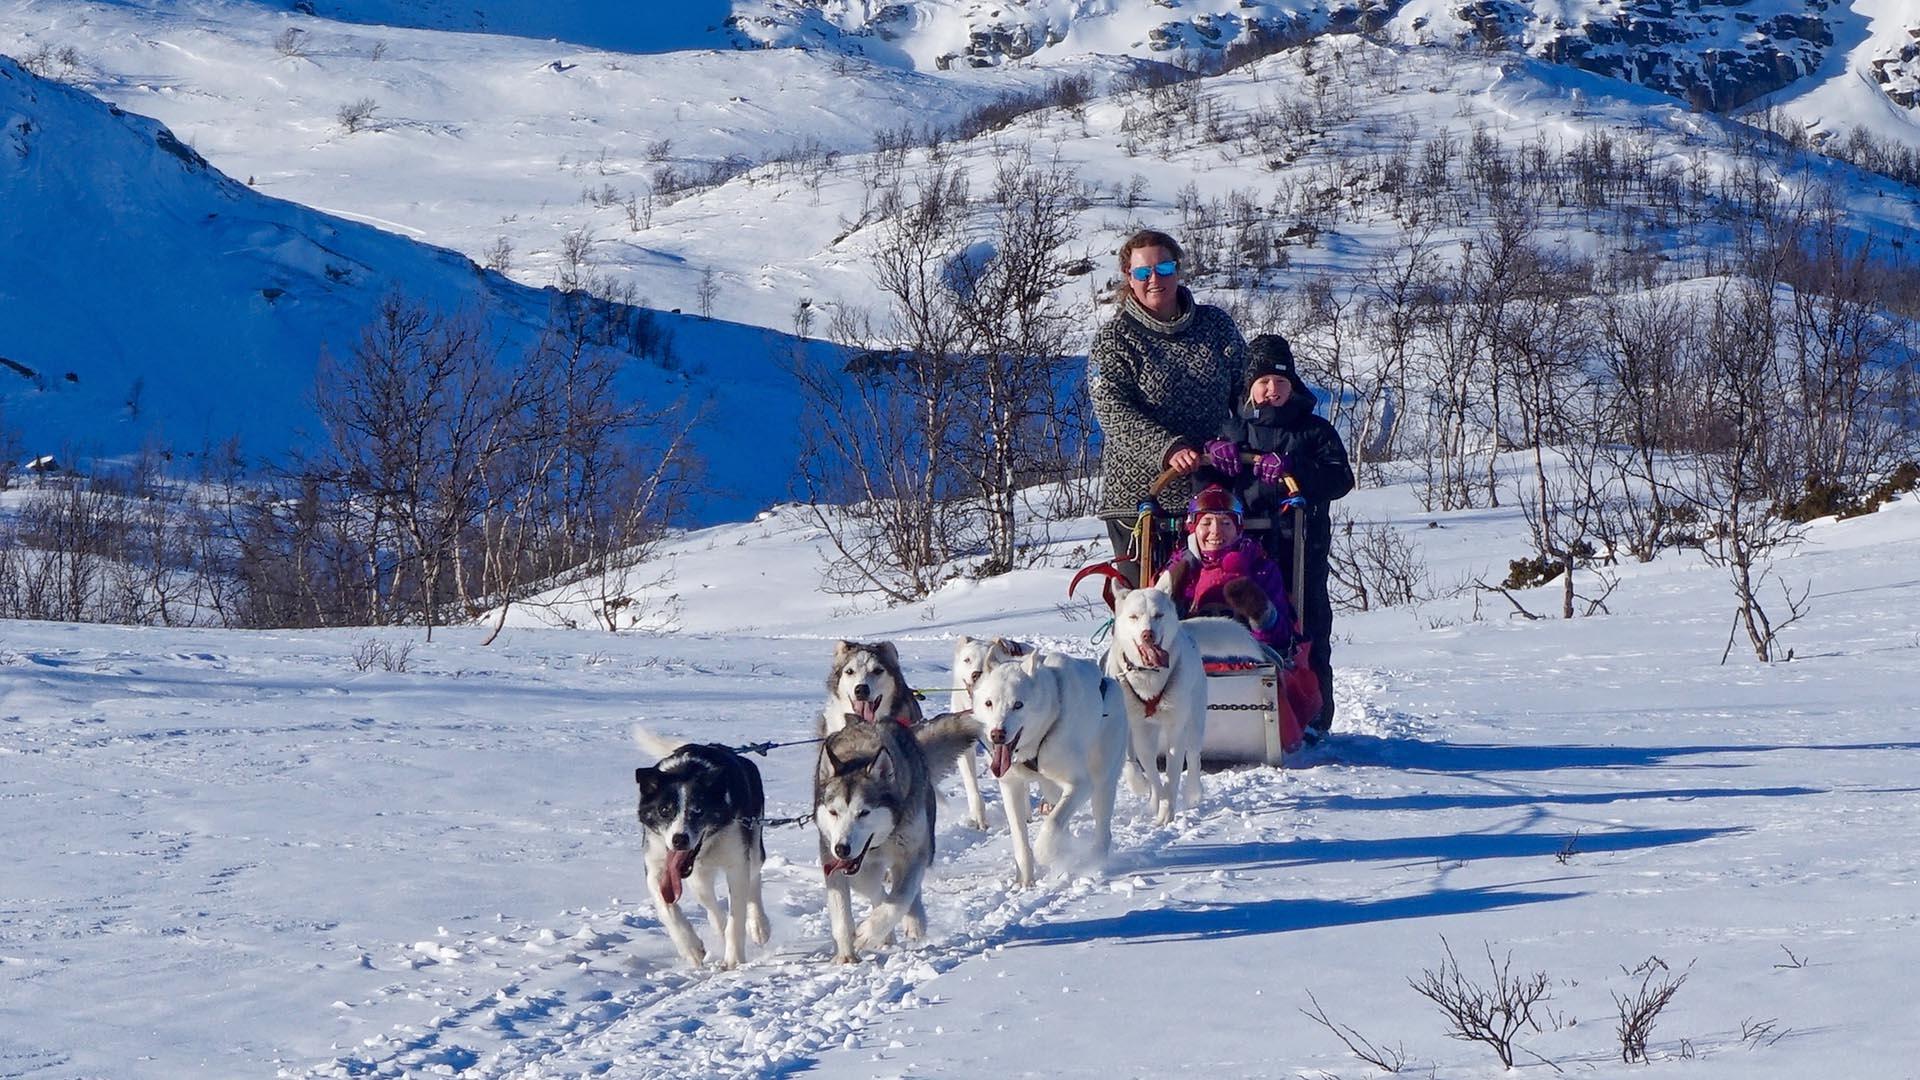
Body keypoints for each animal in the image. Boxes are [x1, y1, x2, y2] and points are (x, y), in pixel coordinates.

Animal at [637, 722, 771, 968]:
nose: (679, 839)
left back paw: (759, 925)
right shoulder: (656, 863)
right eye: (664, 810)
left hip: (754, 842)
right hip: (698, 875)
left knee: (754, 879)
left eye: (698, 810)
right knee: (707, 898)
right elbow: (666, 908)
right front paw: (691, 948)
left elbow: (737, 914)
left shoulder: (737, 863)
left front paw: (734, 958)